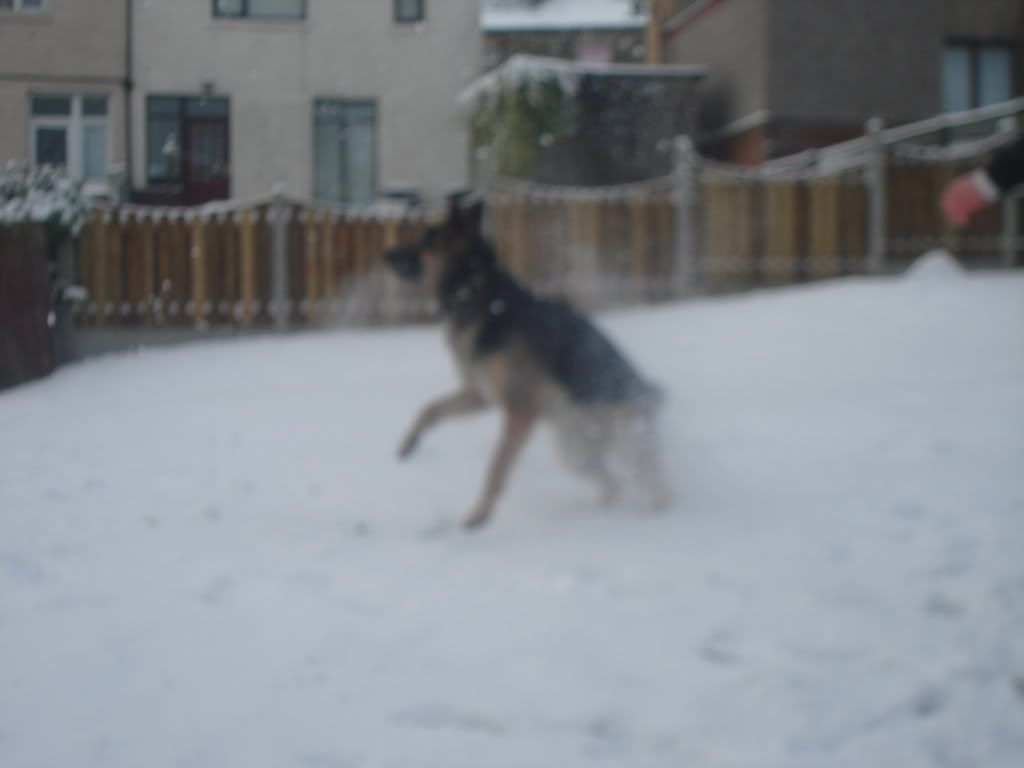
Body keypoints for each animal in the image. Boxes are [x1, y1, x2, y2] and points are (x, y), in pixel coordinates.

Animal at [387, 195, 667, 528]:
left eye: (428, 238)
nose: (386, 254)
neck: (477, 291)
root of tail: (649, 393)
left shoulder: (520, 410)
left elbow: (496, 467)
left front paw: (479, 515)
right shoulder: (479, 395)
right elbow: (430, 409)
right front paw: (408, 444)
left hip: (623, 440)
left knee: (653, 481)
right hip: (576, 451)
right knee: (614, 482)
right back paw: (606, 513)